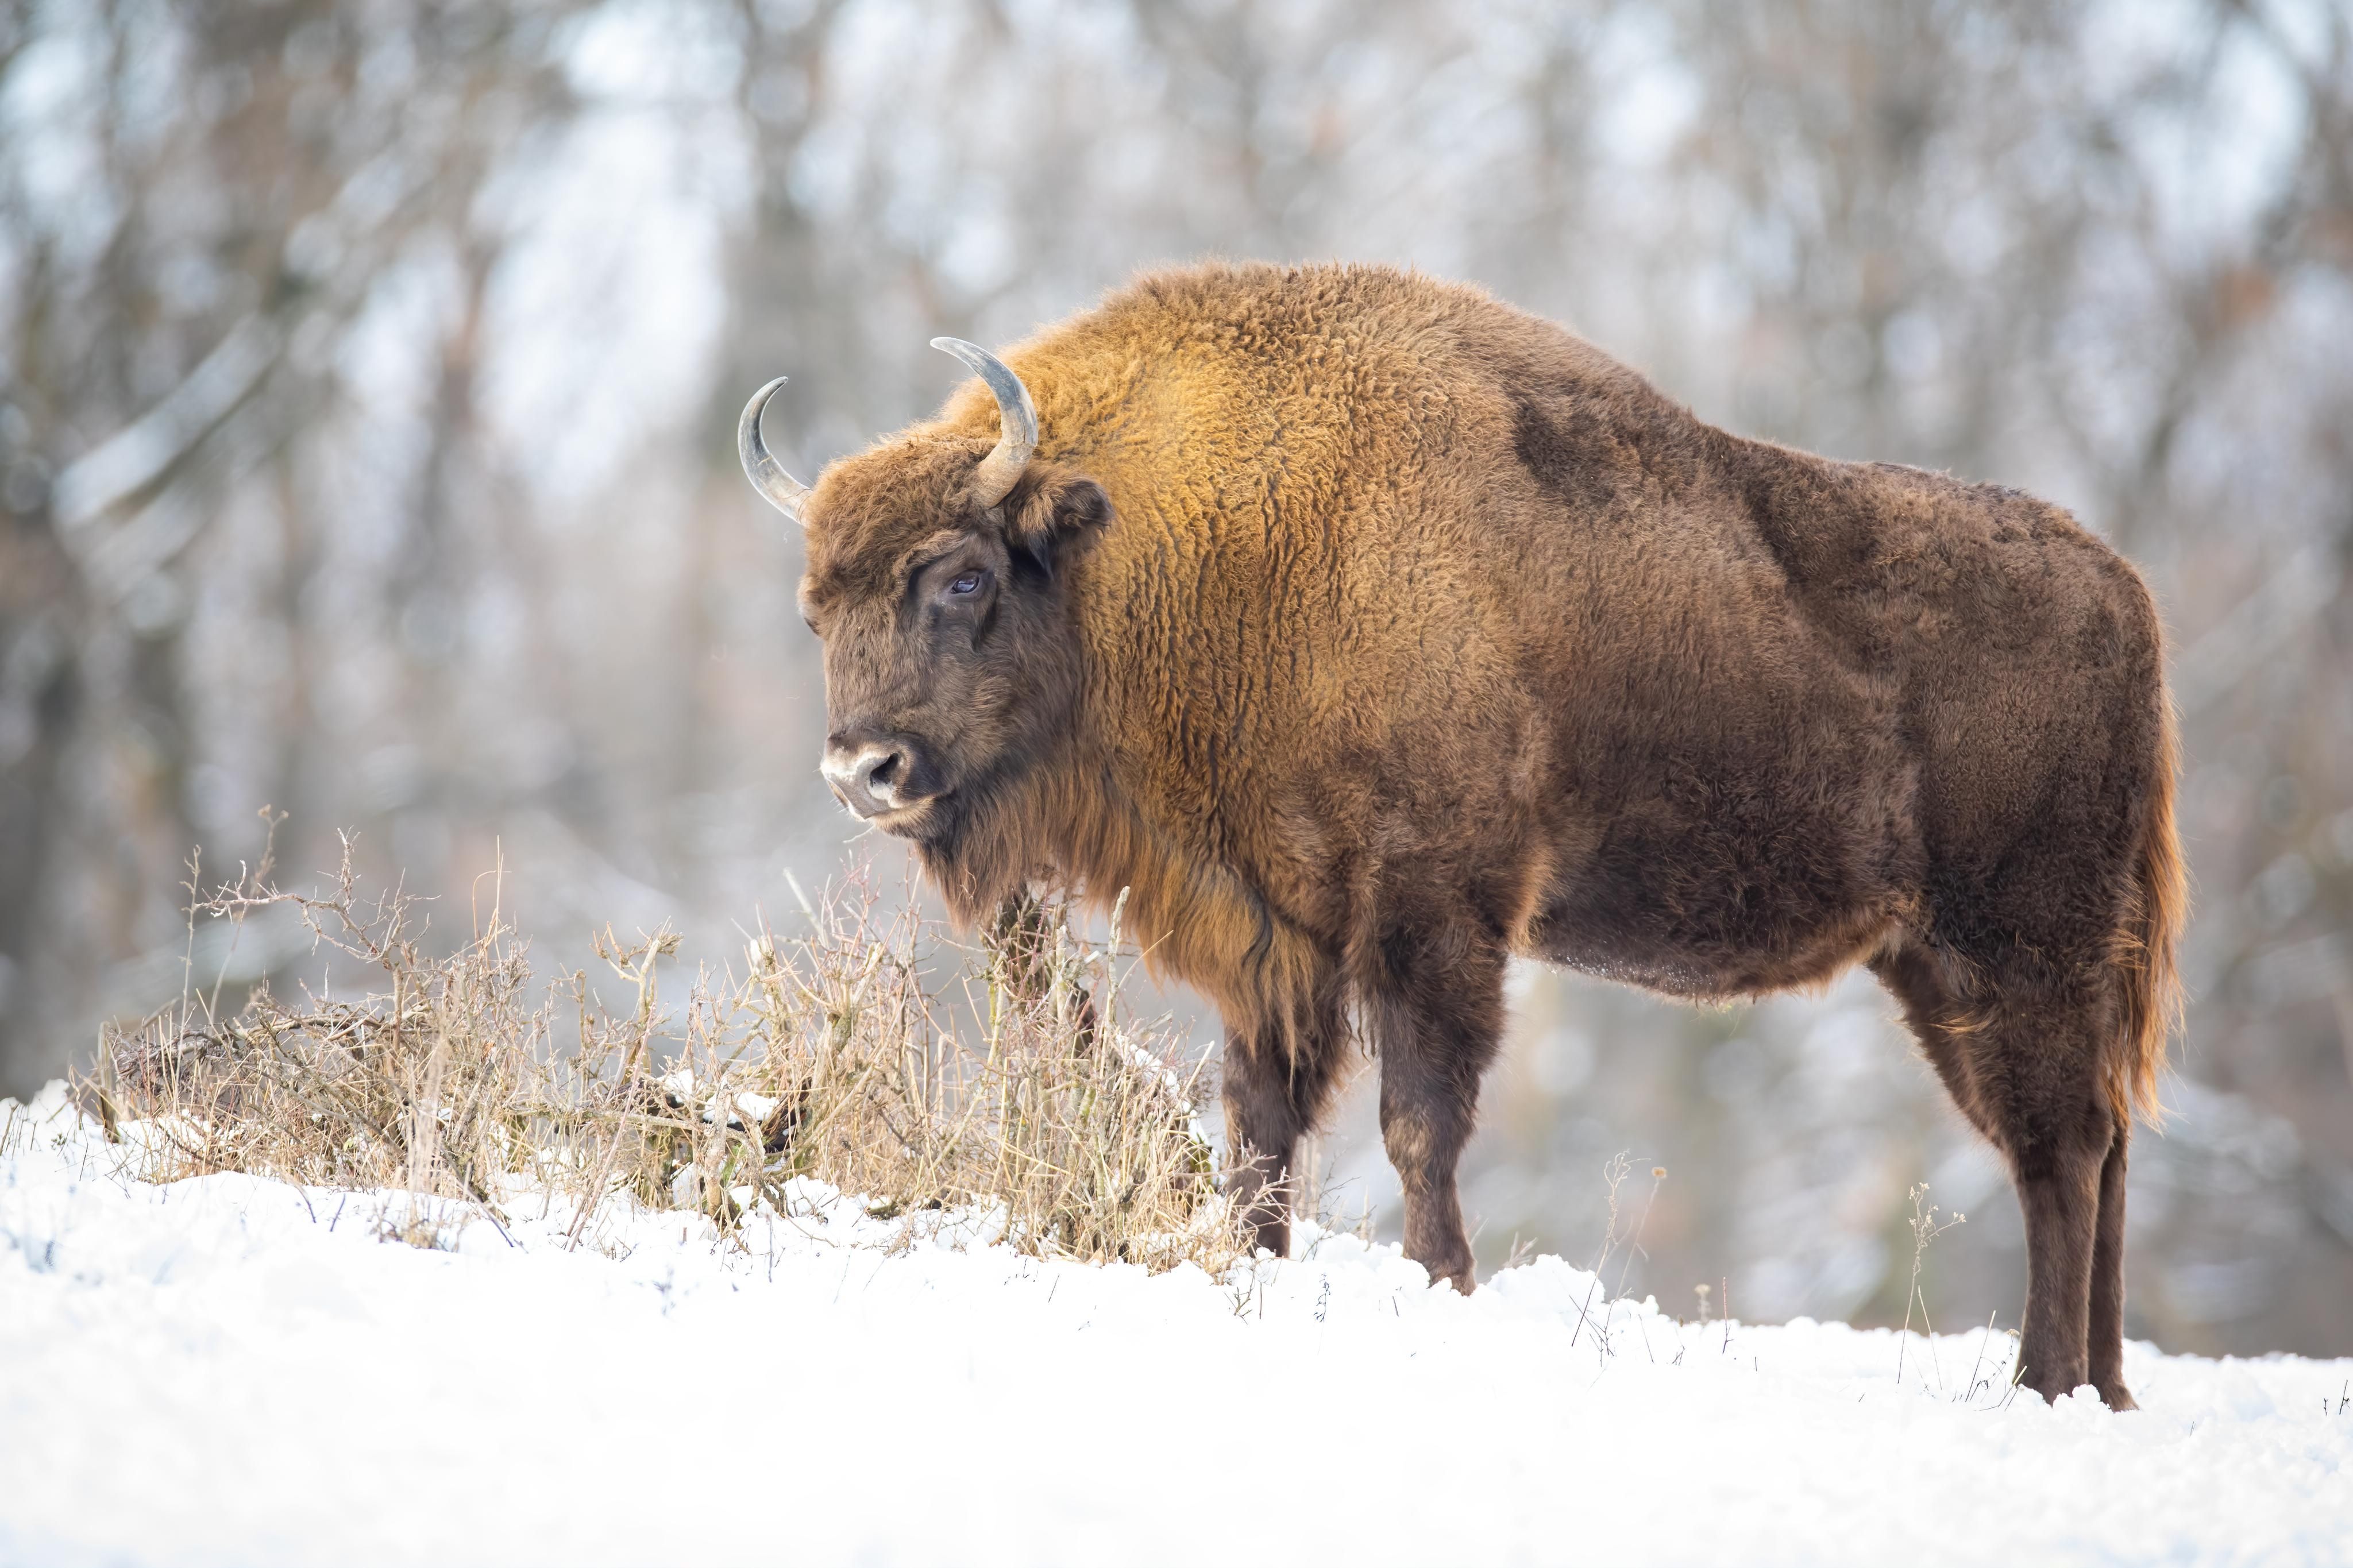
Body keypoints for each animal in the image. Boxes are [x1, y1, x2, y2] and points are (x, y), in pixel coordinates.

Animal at [739, 262, 2184, 1407]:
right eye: (813, 611)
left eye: (960, 577)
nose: (863, 769)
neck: (1175, 544)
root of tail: (2121, 593)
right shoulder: (1276, 936)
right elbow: (1260, 1128)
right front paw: (1253, 1270)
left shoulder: (1431, 912)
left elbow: (1416, 1122)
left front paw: (1441, 1286)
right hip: (1944, 969)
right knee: (2095, 1150)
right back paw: (2101, 1389)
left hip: (2019, 953)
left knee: (2059, 1155)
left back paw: (2043, 1384)